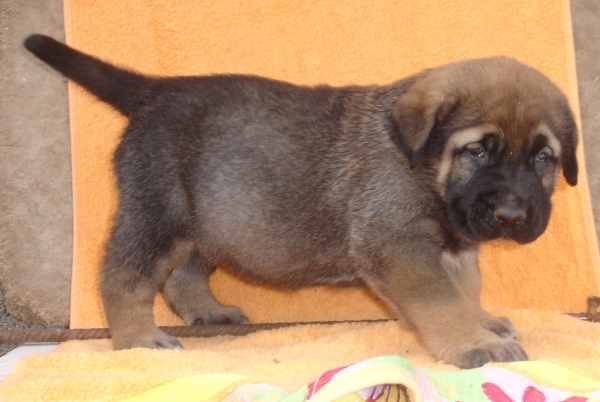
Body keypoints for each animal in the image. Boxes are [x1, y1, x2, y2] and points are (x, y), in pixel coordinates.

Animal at [24, 34, 576, 368]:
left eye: (543, 158)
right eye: (477, 151)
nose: (512, 215)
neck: (426, 167)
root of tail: (153, 92)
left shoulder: (453, 248)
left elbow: (465, 290)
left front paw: (483, 323)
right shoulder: (400, 244)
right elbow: (442, 301)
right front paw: (475, 343)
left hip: (212, 221)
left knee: (182, 276)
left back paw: (207, 312)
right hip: (158, 212)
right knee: (124, 275)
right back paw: (137, 342)